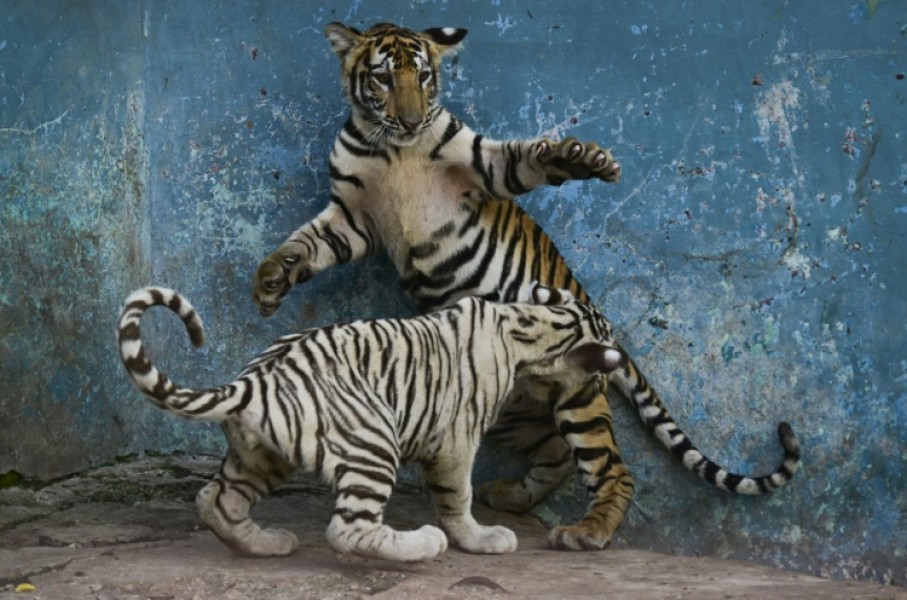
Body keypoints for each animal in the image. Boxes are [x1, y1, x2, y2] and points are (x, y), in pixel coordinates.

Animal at [117, 283, 637, 560]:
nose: (607, 378)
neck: (532, 324)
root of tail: (253, 382)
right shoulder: (457, 439)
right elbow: (458, 498)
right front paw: (479, 537)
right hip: (373, 440)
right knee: (348, 529)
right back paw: (423, 543)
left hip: (259, 455)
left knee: (215, 501)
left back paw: (268, 544)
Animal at [251, 22, 801, 550]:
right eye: (383, 78)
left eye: (424, 77)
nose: (410, 120)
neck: (394, 149)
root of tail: (605, 324)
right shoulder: (354, 217)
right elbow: (309, 244)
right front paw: (272, 279)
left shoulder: (479, 167)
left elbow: (527, 160)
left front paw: (585, 160)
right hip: (513, 401)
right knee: (556, 454)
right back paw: (510, 497)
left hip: (578, 395)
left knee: (613, 470)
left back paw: (587, 532)